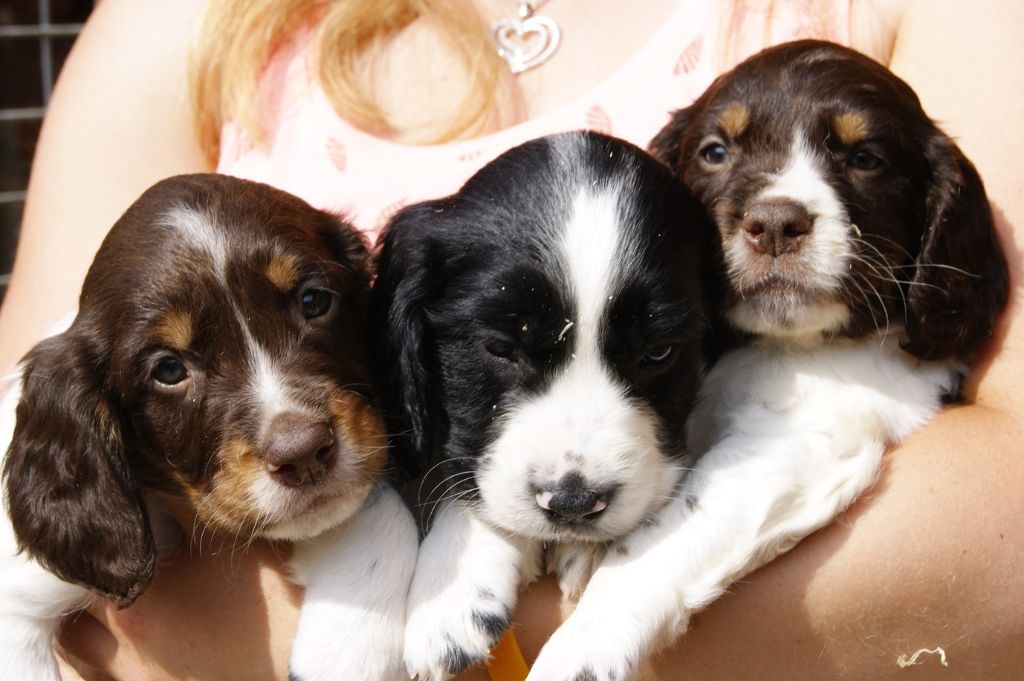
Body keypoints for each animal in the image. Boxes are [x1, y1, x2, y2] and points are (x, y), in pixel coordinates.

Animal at [528, 41, 1007, 679]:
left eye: (865, 158)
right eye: (715, 152)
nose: (776, 224)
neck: (774, 345)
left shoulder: (798, 438)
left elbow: (661, 537)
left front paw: (579, 648)